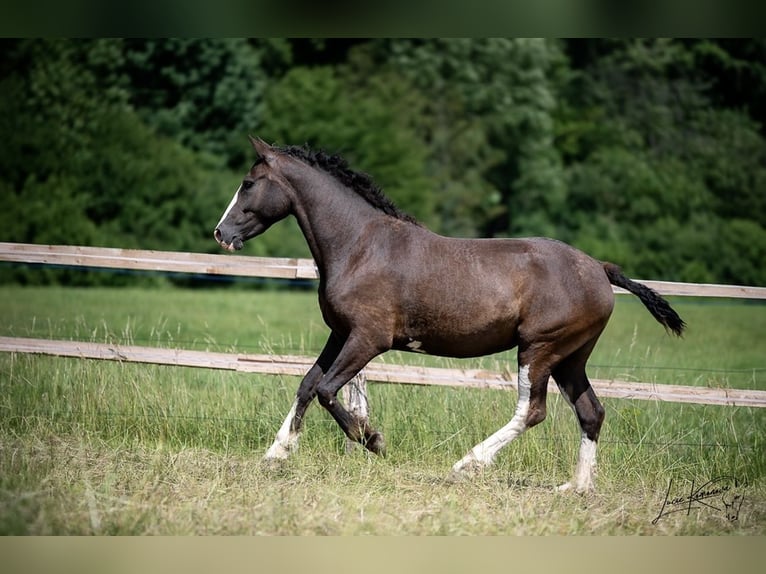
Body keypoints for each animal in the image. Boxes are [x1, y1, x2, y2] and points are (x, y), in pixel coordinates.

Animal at [213, 137, 688, 492]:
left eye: (249, 182)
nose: (221, 233)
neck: (359, 246)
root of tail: (600, 269)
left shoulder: (368, 338)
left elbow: (329, 390)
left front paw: (372, 441)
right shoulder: (341, 334)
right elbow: (308, 385)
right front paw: (275, 454)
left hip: (539, 349)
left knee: (532, 410)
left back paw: (468, 464)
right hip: (571, 358)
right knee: (591, 412)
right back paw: (576, 487)